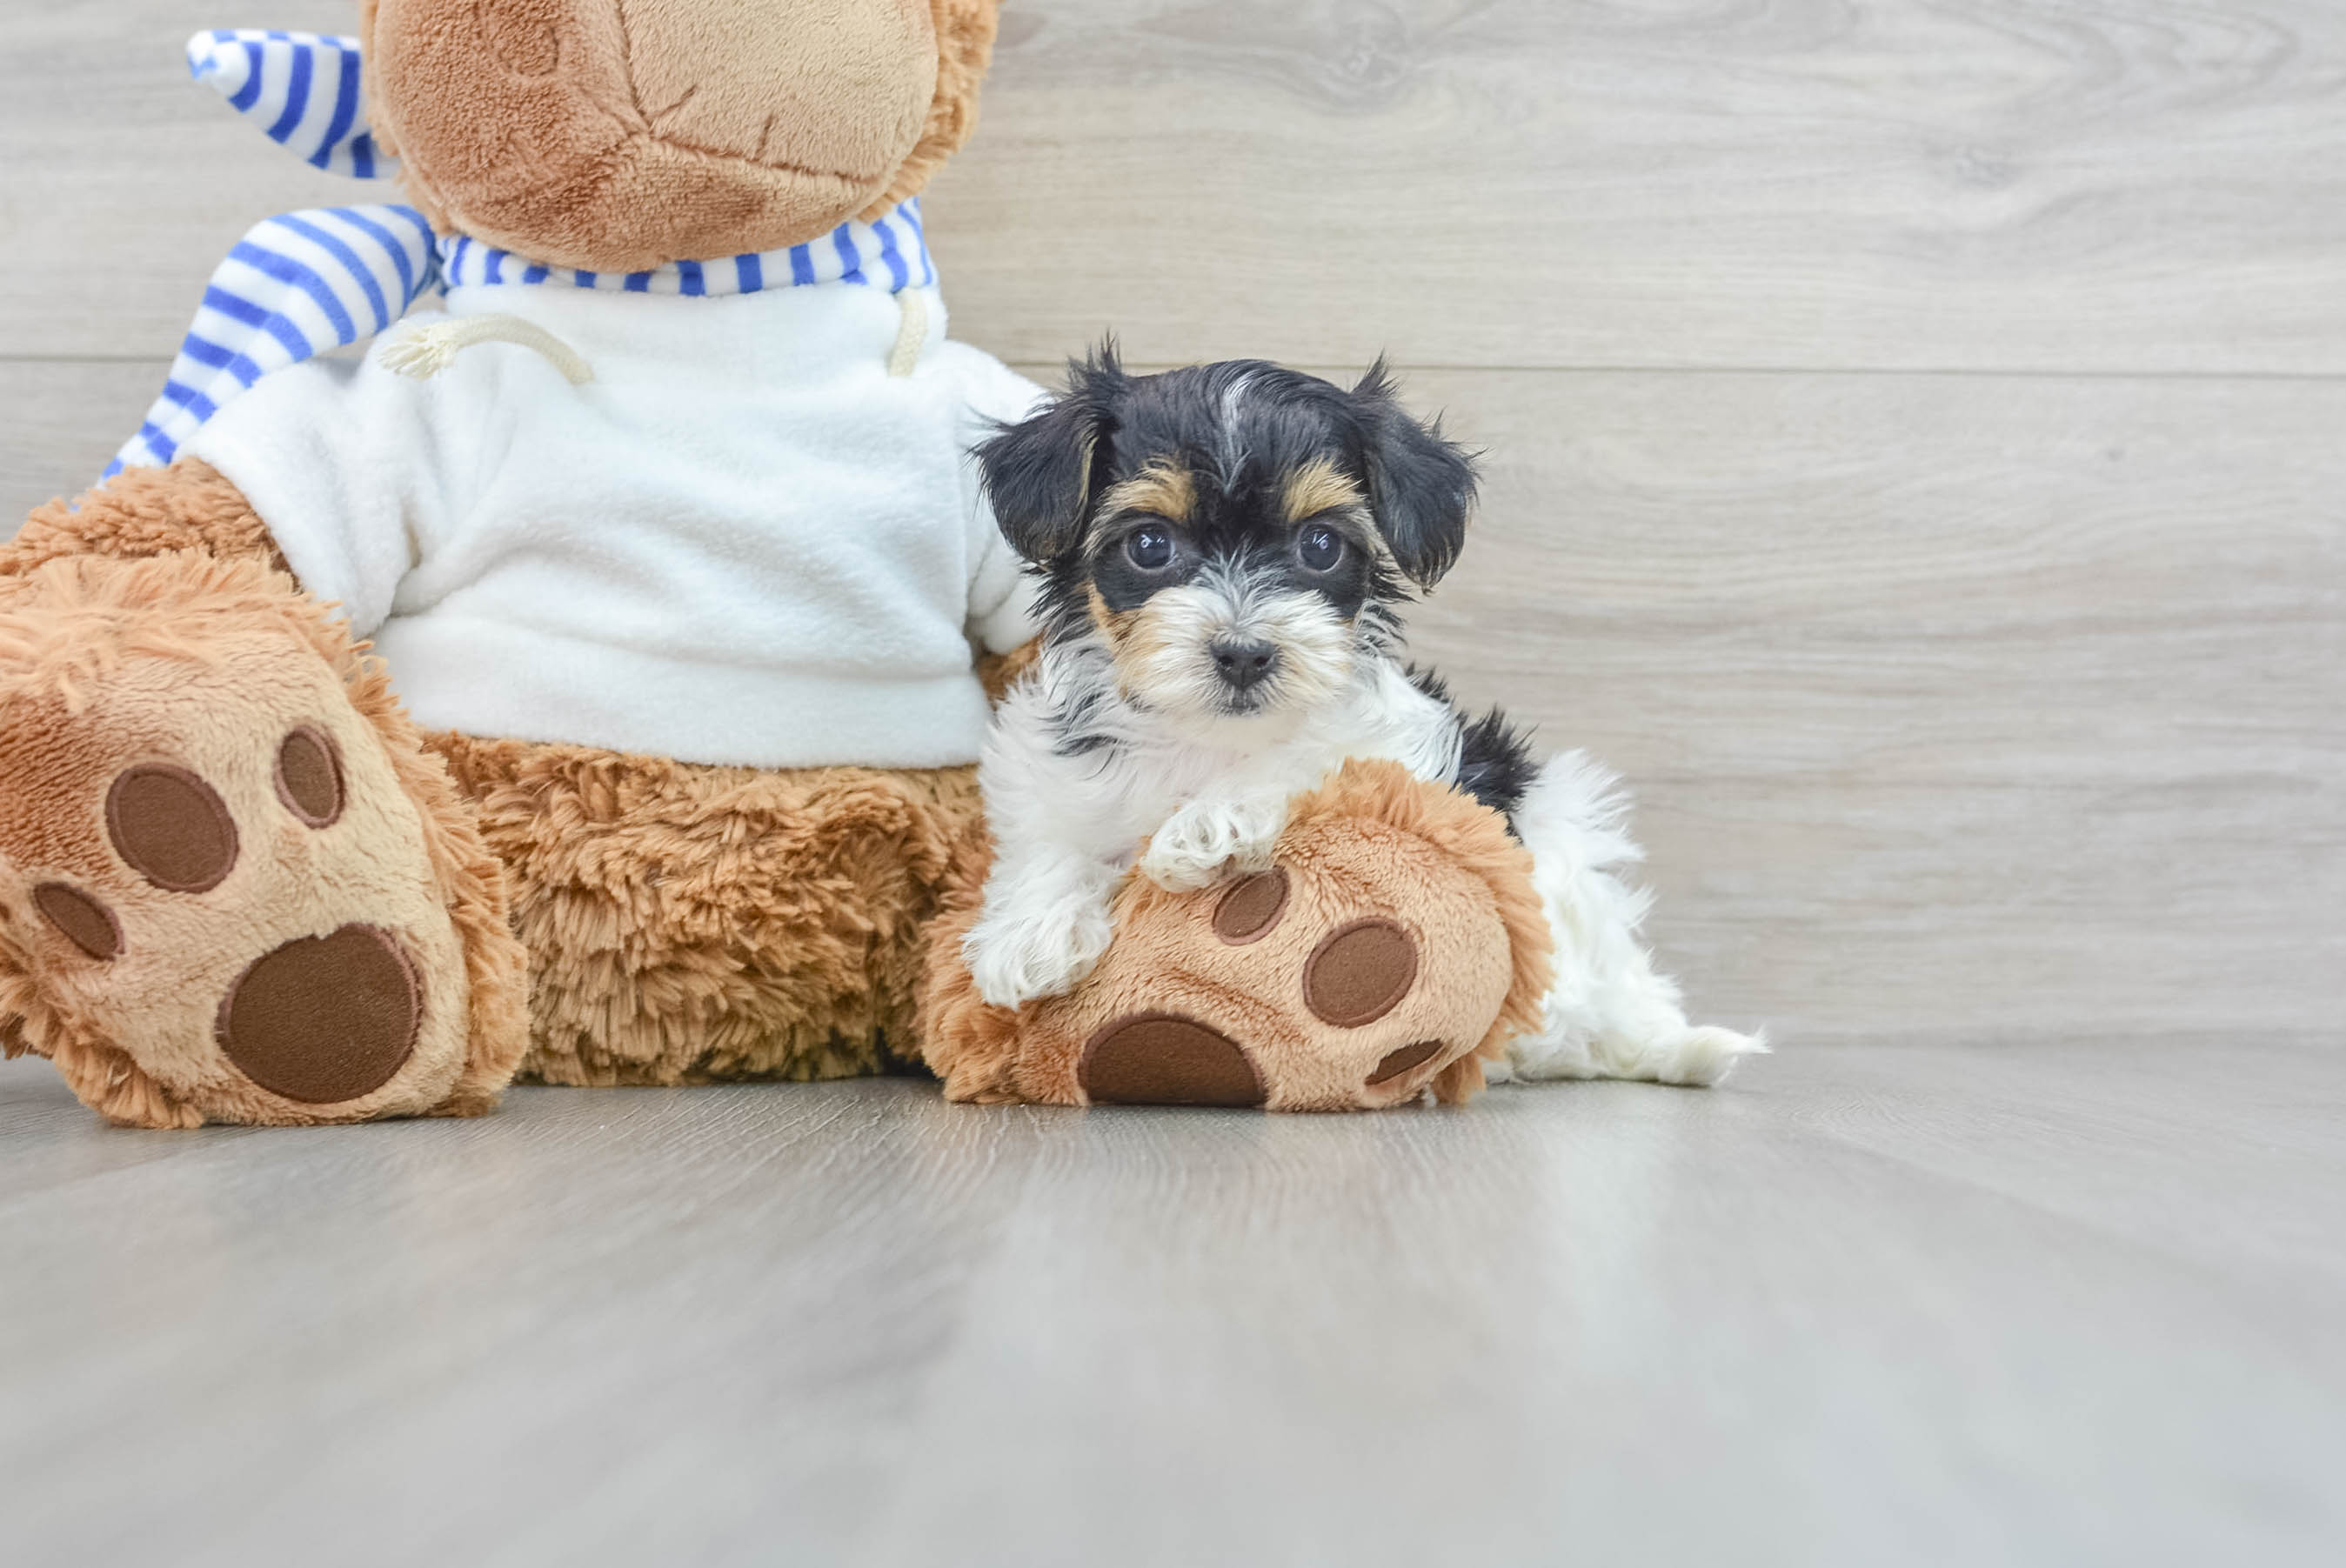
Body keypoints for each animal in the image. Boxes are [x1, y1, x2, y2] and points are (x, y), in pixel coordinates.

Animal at [957, 346, 1764, 1083]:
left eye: (1319, 545)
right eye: (1150, 545)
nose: (1243, 653)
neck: (1210, 737)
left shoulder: (1407, 747)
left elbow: (1317, 755)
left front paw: (1207, 824)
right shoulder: (1046, 755)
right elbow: (1048, 825)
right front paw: (1028, 934)